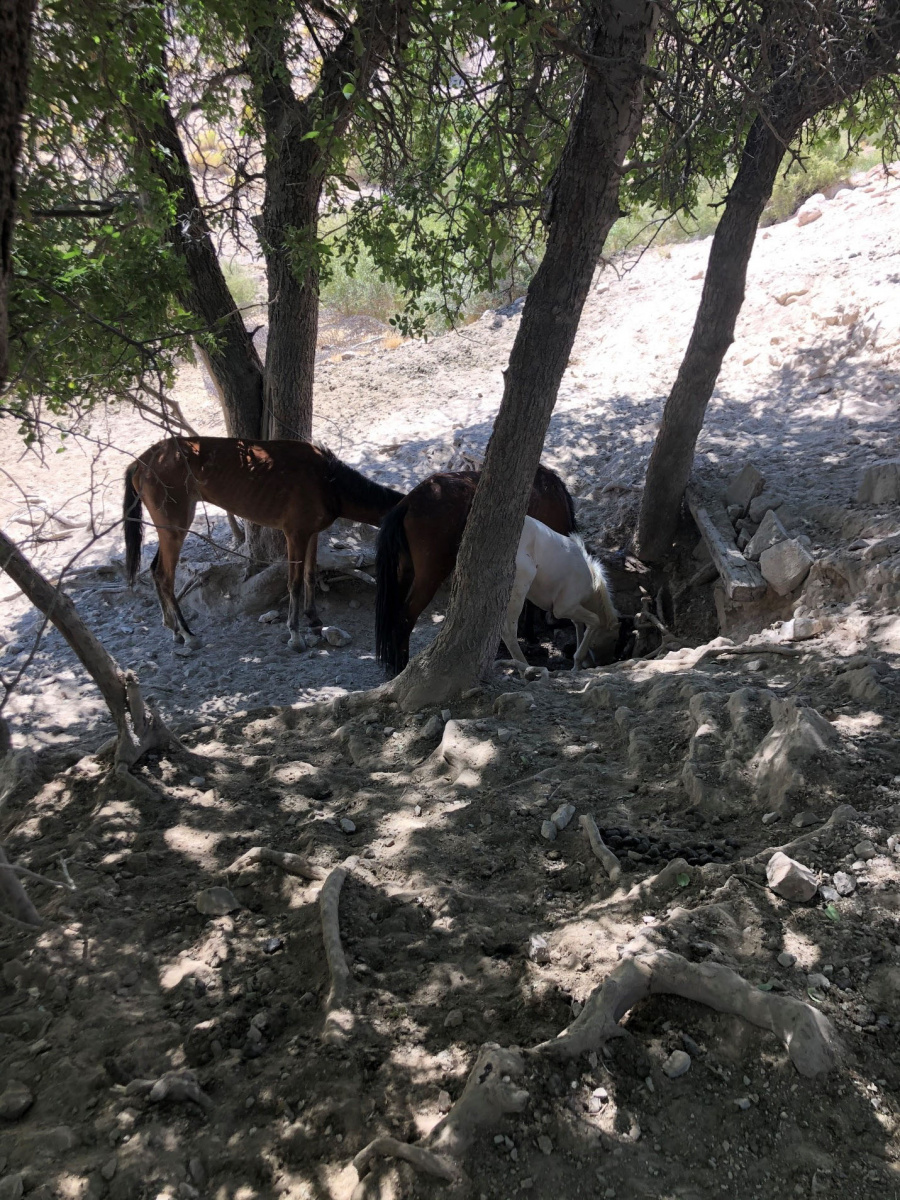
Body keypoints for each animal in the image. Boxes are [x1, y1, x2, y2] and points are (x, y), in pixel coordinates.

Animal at [123, 439, 405, 652]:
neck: (328, 482)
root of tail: (141, 462)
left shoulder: (312, 533)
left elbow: (310, 575)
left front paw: (314, 619)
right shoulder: (295, 534)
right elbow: (294, 582)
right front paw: (295, 635)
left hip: (168, 529)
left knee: (155, 570)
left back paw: (172, 629)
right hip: (175, 525)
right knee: (164, 575)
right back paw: (188, 634)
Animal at [374, 465, 578, 676]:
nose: (570, 649)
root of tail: (409, 501)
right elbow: (530, 603)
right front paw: (530, 637)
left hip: (403, 573)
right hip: (429, 576)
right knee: (405, 618)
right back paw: (401, 667)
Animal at [501, 513, 619, 672]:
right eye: (614, 639)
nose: (606, 662)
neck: (591, 581)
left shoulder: (573, 608)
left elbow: (578, 625)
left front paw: (581, 663)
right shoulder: (563, 608)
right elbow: (594, 621)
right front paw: (577, 664)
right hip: (518, 590)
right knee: (508, 632)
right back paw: (526, 668)